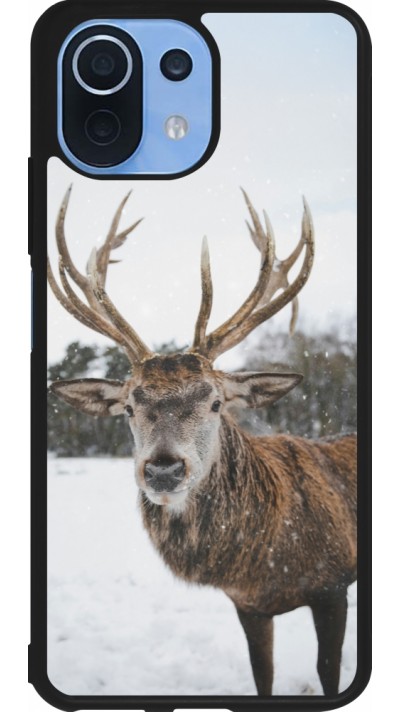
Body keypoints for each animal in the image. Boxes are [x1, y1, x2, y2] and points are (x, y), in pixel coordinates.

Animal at [48, 186, 357, 696]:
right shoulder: (248, 605)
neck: (266, 563)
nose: (163, 468)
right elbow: (263, 676)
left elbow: (329, 673)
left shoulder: (332, 586)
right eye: (128, 407)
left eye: (215, 402)